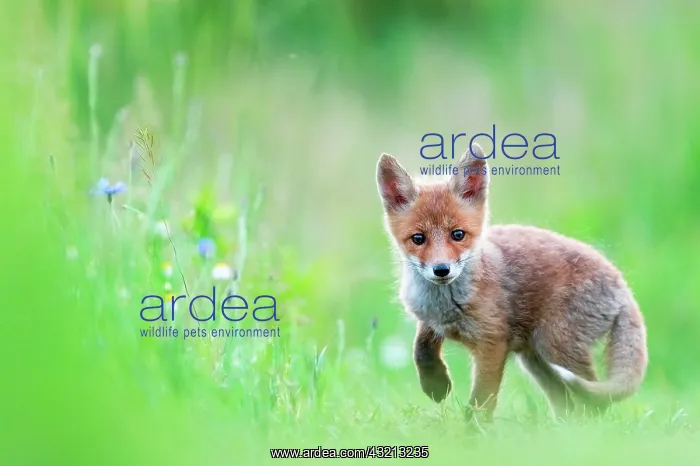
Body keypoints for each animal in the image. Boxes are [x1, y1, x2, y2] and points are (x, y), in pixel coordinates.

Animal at [376, 144, 648, 421]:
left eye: (458, 234)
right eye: (418, 238)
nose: (441, 270)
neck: (446, 304)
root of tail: (622, 283)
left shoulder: (492, 343)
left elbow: (481, 401)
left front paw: (472, 430)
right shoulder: (430, 319)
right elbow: (420, 348)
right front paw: (435, 384)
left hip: (554, 346)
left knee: (594, 400)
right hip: (536, 360)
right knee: (567, 403)